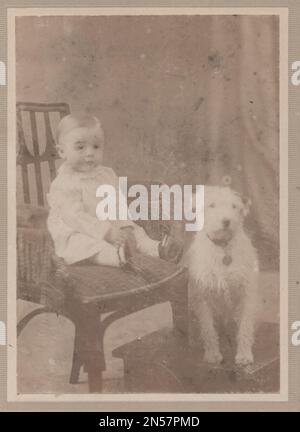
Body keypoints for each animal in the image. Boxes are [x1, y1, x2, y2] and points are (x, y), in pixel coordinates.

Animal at [182, 187, 258, 366]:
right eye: (212, 205)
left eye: (234, 206)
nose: (226, 221)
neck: (223, 247)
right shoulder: (202, 296)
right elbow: (208, 328)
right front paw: (212, 354)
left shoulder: (246, 293)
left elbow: (245, 326)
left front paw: (244, 354)